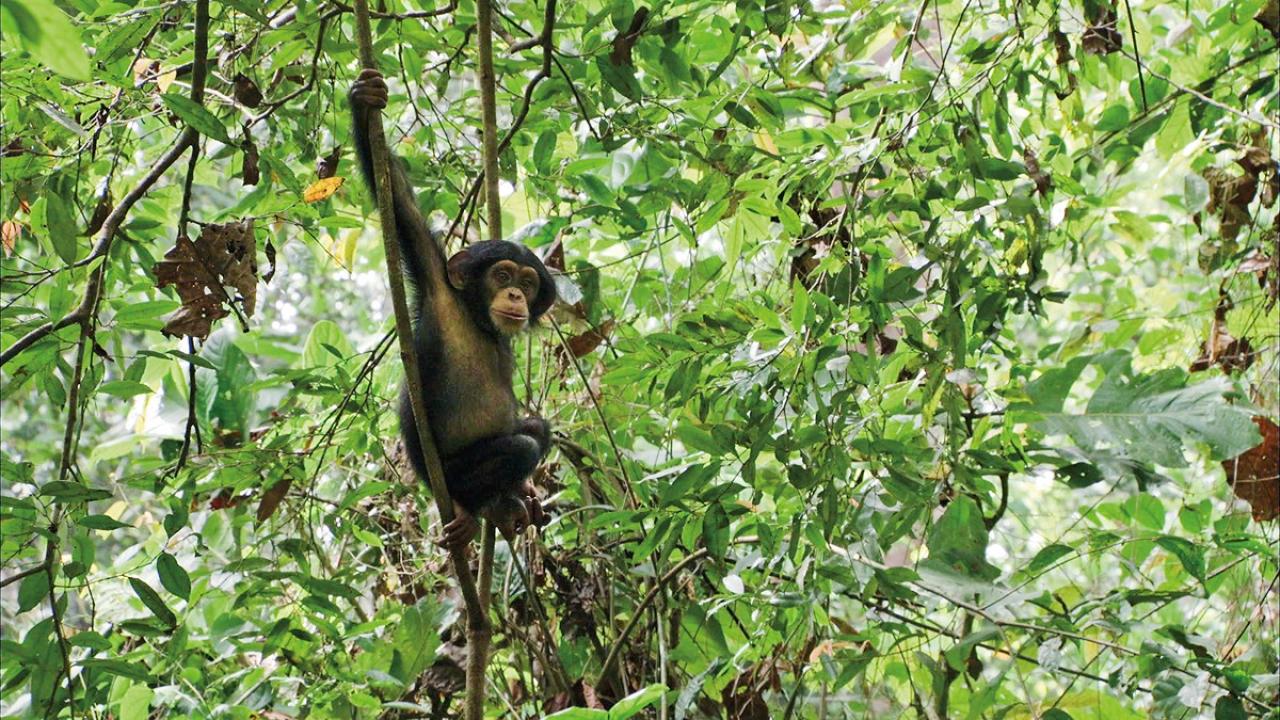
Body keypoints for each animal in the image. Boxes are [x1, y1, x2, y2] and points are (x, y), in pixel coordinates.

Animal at [350, 68, 555, 548]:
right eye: (502, 276)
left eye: (528, 283)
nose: (516, 296)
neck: (477, 319)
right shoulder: (434, 282)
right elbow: (400, 205)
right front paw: (364, 100)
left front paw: (526, 490)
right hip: (452, 476)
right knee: (521, 447)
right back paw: (475, 509)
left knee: (536, 431)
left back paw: (510, 502)